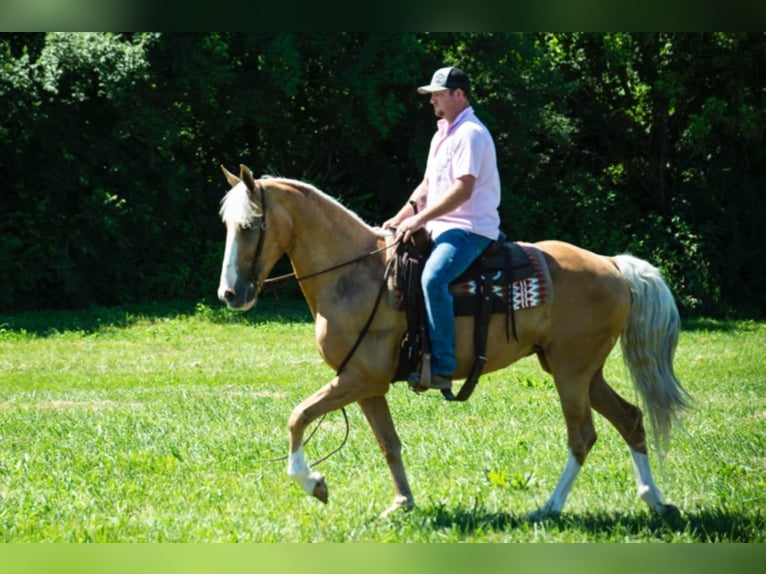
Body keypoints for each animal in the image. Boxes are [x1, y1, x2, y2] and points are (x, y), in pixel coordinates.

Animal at [214, 164, 688, 520]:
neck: (357, 275)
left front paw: (313, 482)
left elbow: (297, 416)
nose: (230, 294)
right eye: (227, 226)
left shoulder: (360, 378)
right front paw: (402, 503)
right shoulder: (366, 385)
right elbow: (388, 443)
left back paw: (549, 507)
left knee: (582, 436)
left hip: (571, 373)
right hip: (581, 371)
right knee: (630, 419)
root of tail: (611, 264)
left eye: (251, 225)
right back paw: (655, 500)